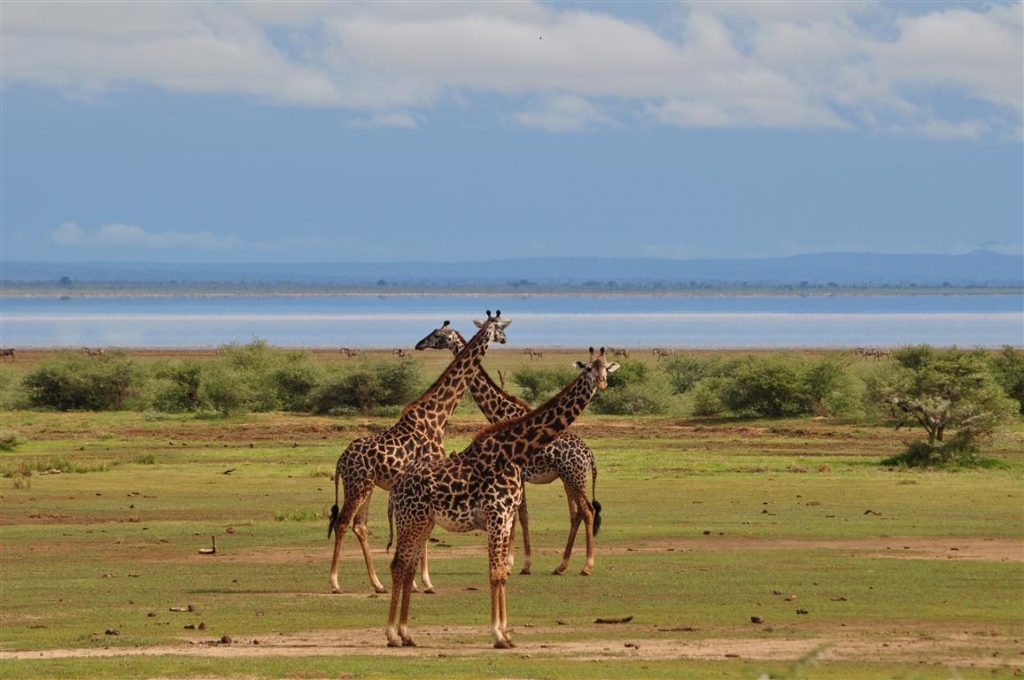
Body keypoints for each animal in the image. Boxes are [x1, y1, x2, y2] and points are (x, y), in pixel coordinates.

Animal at [325, 311, 509, 593]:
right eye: (499, 327)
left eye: (436, 334)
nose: (504, 338)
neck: (439, 416)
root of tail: (340, 461)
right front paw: (424, 582)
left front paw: (413, 582)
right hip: (357, 485)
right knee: (343, 522)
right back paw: (335, 582)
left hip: (366, 486)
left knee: (360, 526)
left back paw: (377, 583)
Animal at [385, 348, 614, 651]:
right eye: (588, 368)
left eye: (606, 367)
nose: (601, 383)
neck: (514, 450)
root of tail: (396, 489)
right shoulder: (496, 515)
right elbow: (495, 573)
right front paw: (497, 635)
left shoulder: (504, 518)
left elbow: (502, 573)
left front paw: (506, 634)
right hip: (410, 520)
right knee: (398, 565)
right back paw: (391, 634)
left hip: (424, 522)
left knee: (408, 566)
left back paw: (406, 634)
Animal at [415, 321, 602, 577]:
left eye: (437, 334)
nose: (419, 344)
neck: (501, 413)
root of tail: (589, 455)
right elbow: (520, 515)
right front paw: (516, 561)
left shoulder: (518, 475)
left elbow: (520, 515)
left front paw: (517, 562)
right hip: (568, 478)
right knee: (576, 513)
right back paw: (561, 565)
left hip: (574, 476)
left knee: (587, 511)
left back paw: (587, 565)